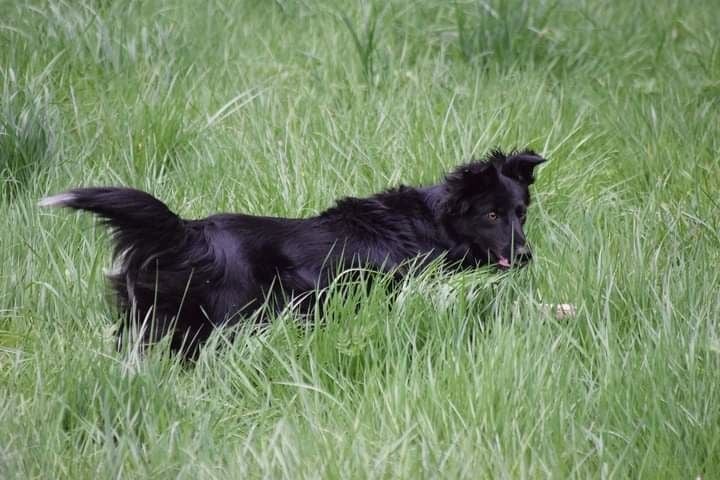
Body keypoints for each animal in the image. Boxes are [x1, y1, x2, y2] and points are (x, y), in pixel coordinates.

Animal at [39, 148, 544, 354]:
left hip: (151, 322)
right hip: (223, 323)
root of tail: (190, 233)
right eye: (492, 215)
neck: (432, 223)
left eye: (521, 213)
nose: (525, 256)